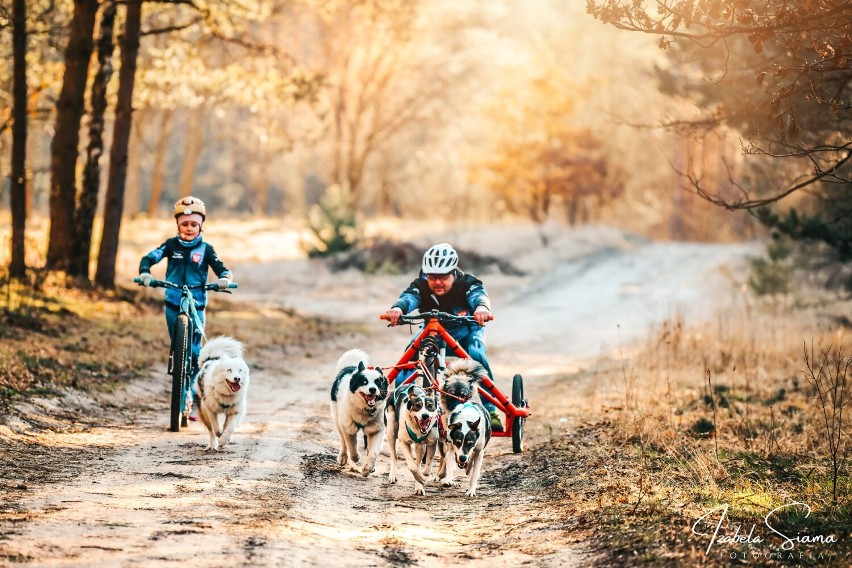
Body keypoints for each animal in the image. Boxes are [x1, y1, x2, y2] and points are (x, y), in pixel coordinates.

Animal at [330, 348, 390, 478]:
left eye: (378, 382)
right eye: (364, 381)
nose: (372, 389)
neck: (364, 410)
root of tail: (350, 367)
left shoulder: (378, 429)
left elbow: (373, 452)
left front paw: (367, 469)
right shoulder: (348, 427)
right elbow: (351, 446)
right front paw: (356, 458)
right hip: (337, 419)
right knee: (343, 441)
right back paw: (343, 457)